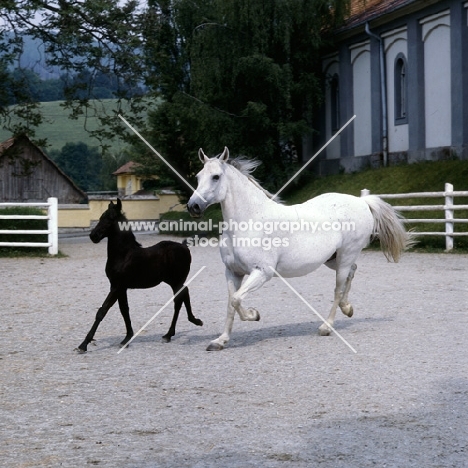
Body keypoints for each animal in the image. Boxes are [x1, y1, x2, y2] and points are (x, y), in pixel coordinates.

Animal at [76, 199, 202, 352]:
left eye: (110, 218)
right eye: (101, 217)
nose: (93, 236)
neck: (123, 255)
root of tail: (185, 247)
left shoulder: (116, 287)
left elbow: (102, 311)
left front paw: (83, 345)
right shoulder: (120, 287)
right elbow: (124, 310)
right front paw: (127, 338)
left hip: (176, 280)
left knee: (179, 299)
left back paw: (176, 330)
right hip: (173, 281)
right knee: (183, 294)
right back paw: (177, 330)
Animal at [187, 147, 414, 352]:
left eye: (216, 177)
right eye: (198, 177)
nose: (193, 207)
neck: (248, 221)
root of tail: (361, 200)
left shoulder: (262, 272)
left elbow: (236, 300)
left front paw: (254, 314)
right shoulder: (232, 272)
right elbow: (230, 303)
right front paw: (220, 341)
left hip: (346, 256)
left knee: (338, 289)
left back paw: (326, 327)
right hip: (333, 259)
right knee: (352, 272)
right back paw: (347, 309)